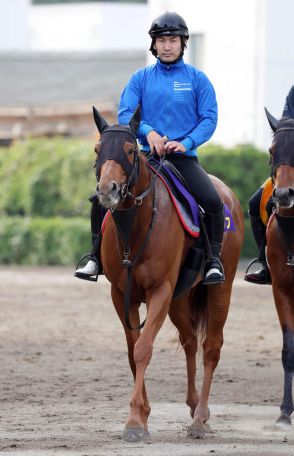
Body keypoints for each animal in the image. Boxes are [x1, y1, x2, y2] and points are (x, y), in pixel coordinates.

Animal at [92, 107, 243, 442]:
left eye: (130, 150)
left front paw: (136, 421)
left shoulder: (159, 290)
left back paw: (199, 419)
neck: (135, 229)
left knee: (211, 348)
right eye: (97, 150)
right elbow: (132, 350)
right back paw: (195, 406)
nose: (106, 191)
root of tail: (228, 195)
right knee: (189, 341)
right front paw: (142, 415)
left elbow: (143, 349)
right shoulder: (121, 295)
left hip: (219, 290)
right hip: (179, 299)